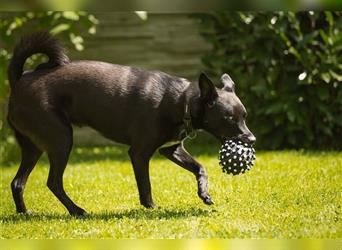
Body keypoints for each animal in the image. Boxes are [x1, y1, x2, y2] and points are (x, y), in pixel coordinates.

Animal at [7, 32, 254, 217]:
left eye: (245, 116)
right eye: (229, 119)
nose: (252, 139)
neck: (182, 100)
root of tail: (19, 81)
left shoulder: (171, 149)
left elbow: (200, 168)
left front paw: (204, 194)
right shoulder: (139, 153)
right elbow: (145, 184)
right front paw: (151, 208)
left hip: (33, 147)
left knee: (17, 182)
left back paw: (24, 213)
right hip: (61, 139)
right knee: (53, 182)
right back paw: (76, 210)